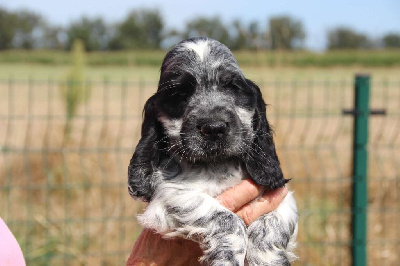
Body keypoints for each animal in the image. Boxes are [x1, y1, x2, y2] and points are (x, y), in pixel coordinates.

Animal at [127, 37, 296, 266]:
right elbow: (227, 220)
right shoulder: (172, 195)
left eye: (233, 87)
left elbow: (270, 227)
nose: (214, 128)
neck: (217, 164)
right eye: (180, 93)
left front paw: (268, 259)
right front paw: (226, 258)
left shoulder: (279, 197)